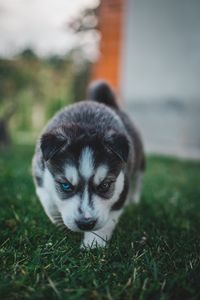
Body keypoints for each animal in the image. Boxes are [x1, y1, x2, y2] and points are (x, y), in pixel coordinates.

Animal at [32, 81, 145, 247]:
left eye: (105, 186)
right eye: (66, 186)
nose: (85, 224)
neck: (87, 122)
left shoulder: (122, 185)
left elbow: (106, 222)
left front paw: (93, 245)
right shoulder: (39, 172)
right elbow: (48, 200)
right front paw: (58, 220)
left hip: (140, 162)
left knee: (138, 179)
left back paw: (134, 201)